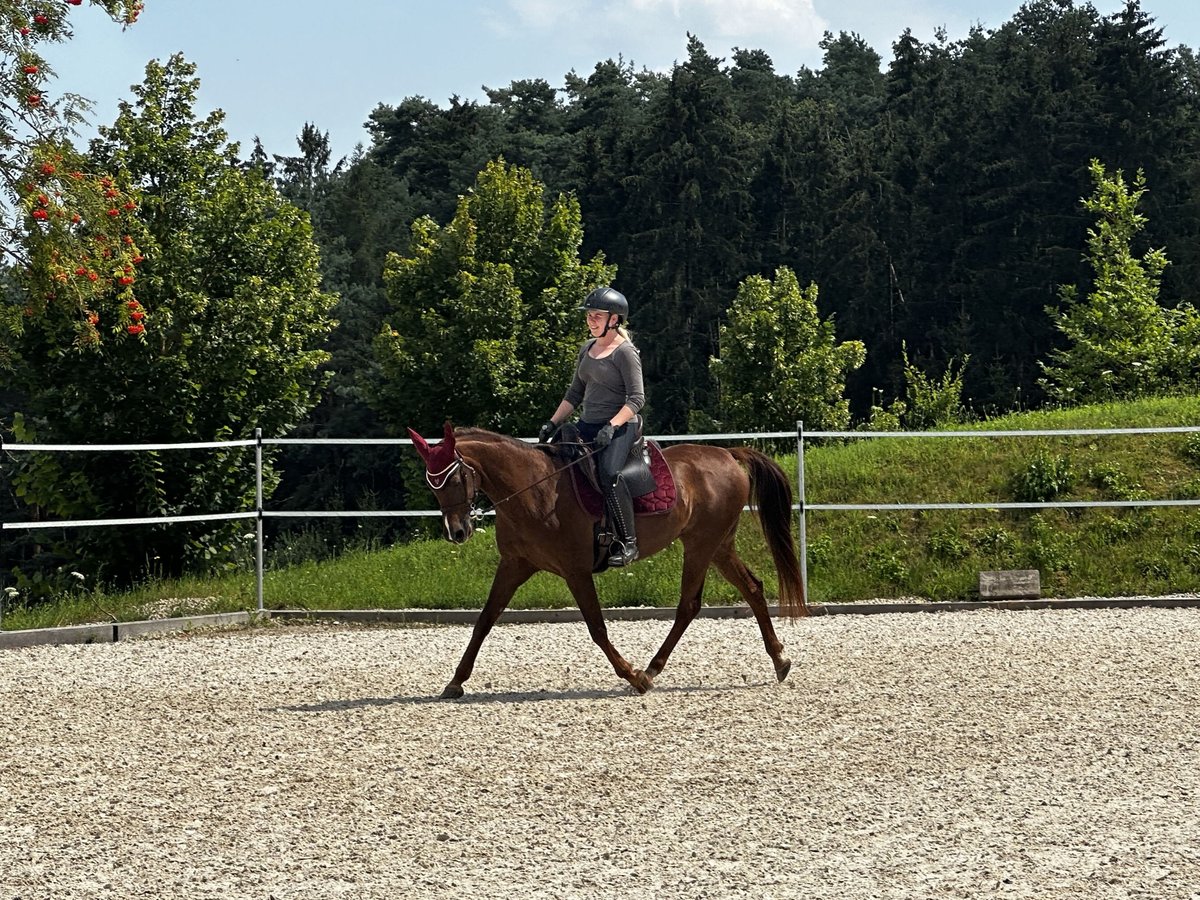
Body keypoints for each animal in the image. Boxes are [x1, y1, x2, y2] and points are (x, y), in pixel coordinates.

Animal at [407, 421, 809, 699]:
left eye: (455, 477)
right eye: (431, 483)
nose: (458, 531)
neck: (535, 489)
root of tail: (727, 454)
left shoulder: (575, 571)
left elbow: (597, 628)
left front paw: (632, 675)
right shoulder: (514, 565)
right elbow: (484, 621)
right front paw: (455, 681)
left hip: (701, 544)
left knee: (689, 605)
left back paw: (650, 671)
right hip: (719, 546)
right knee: (752, 589)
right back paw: (780, 660)